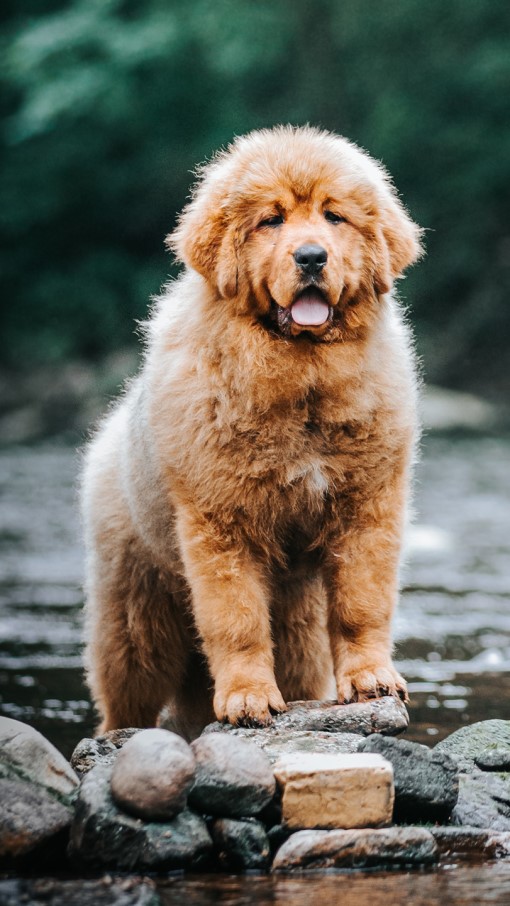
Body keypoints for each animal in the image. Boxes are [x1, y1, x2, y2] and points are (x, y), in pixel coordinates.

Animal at [82, 123, 422, 740]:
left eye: (334, 216)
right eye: (271, 220)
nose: (311, 256)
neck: (303, 386)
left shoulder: (367, 509)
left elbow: (361, 606)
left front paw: (371, 680)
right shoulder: (221, 525)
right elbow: (236, 620)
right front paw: (247, 699)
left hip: (299, 624)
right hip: (136, 616)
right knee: (127, 693)